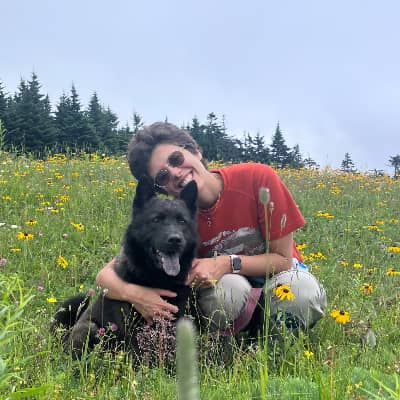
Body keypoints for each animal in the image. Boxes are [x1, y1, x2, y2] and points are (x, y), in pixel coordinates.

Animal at [51, 175, 198, 360]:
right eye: (156, 219)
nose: (175, 239)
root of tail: (66, 336)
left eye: (182, 221)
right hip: (90, 328)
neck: (158, 279)